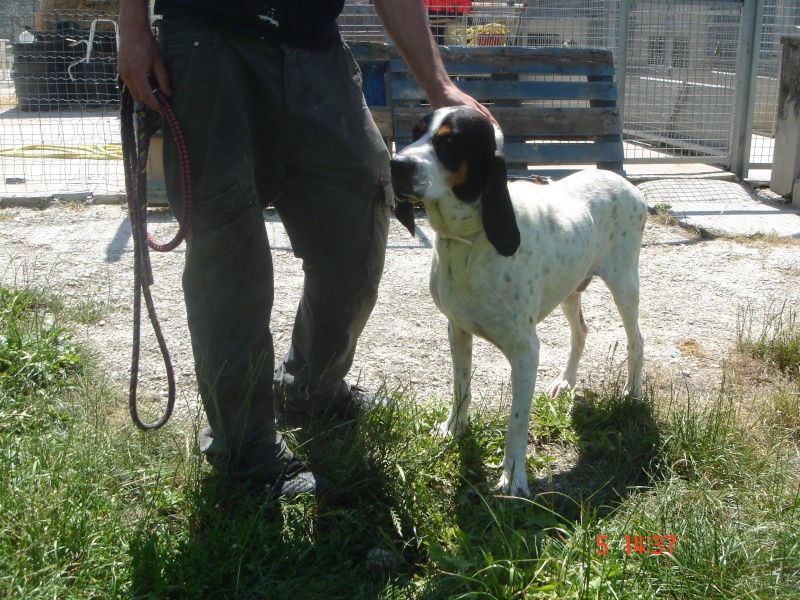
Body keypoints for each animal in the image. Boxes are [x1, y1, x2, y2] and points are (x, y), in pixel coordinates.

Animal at [390, 106, 648, 496]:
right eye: (415, 132)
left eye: (450, 140)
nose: (396, 164)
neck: (468, 243)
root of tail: (627, 183)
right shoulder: (457, 331)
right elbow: (461, 387)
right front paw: (454, 429)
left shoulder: (526, 352)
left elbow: (517, 422)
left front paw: (513, 477)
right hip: (569, 289)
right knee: (581, 331)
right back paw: (565, 381)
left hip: (624, 285)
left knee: (636, 340)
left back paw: (632, 394)